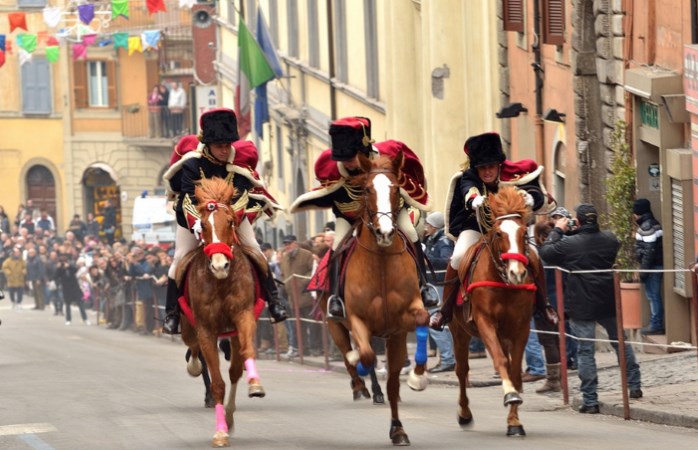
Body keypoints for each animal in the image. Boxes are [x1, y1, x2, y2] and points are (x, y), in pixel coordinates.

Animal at [178, 178, 266, 448]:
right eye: (204, 225)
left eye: (230, 222)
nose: (220, 266)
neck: (220, 283)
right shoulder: (206, 328)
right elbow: (217, 382)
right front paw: (220, 433)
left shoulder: (243, 317)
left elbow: (245, 356)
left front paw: (255, 385)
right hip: (188, 328)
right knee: (194, 348)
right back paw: (194, 366)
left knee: (235, 369)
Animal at [322, 152, 430, 446]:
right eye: (368, 189)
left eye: (396, 189)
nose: (384, 232)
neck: (380, 262)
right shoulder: (357, 320)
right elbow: (367, 356)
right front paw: (359, 365)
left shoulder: (403, 324)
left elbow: (423, 320)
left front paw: (417, 378)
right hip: (335, 326)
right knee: (352, 355)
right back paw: (360, 384)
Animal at [444, 186, 536, 436]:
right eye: (498, 234)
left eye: (523, 233)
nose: (517, 273)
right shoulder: (485, 323)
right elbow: (500, 361)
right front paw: (510, 395)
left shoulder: (521, 328)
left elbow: (514, 370)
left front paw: (514, 421)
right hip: (459, 332)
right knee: (462, 371)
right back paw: (464, 415)